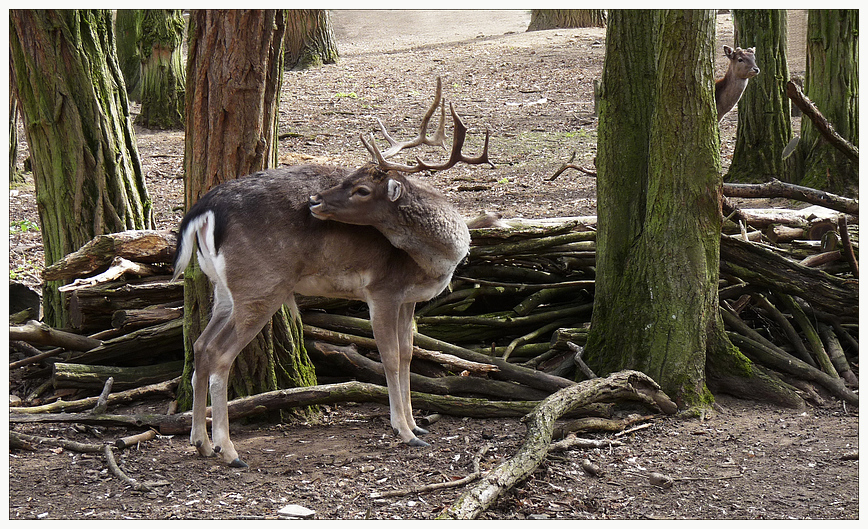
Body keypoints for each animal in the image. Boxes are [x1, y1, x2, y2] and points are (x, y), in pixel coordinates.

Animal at [173, 77, 492, 466]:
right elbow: (388, 357)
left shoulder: (408, 299)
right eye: (351, 176)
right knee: (219, 354)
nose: (314, 200)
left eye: (361, 187)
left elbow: (406, 355)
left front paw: (418, 425)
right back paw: (228, 450)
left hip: (223, 289)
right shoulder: (381, 290)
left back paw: (200, 441)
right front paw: (404, 432)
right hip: (259, 286)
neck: (434, 261)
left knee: (201, 346)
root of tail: (204, 208)